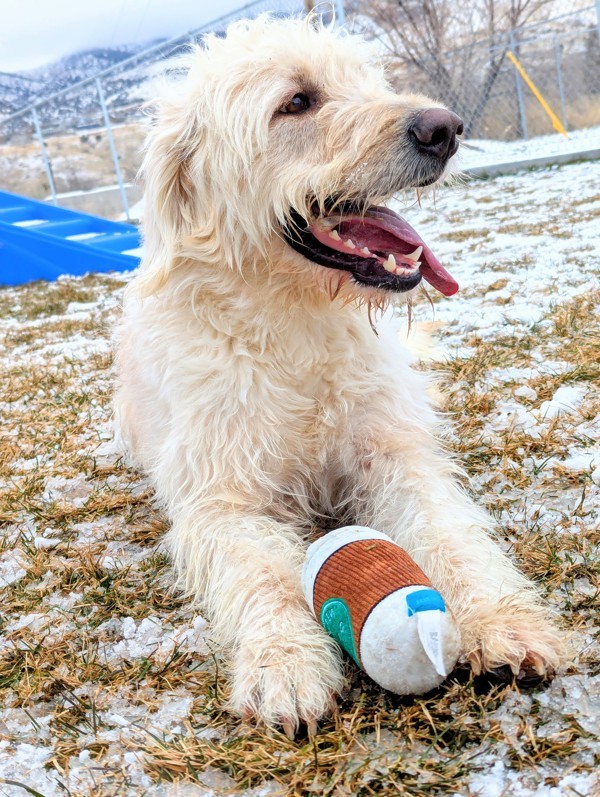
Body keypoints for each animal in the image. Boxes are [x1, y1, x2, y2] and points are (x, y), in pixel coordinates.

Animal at [115, 14, 564, 732]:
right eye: (297, 101)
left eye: (371, 80)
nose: (445, 127)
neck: (297, 325)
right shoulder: (220, 500)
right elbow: (261, 572)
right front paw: (284, 663)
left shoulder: (396, 452)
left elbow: (448, 530)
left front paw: (501, 619)